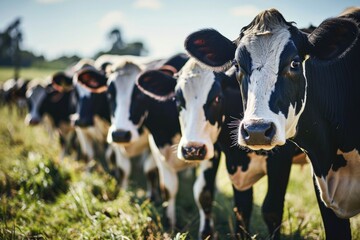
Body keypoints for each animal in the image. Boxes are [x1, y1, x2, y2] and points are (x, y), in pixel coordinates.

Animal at [138, 58, 306, 240]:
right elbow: (241, 208)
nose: (192, 150)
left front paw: (206, 233)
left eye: (217, 98)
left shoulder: (280, 161)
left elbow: (271, 210)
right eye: (177, 100)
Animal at [184, 7, 360, 240]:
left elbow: (271, 209)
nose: (256, 131)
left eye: (295, 63)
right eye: (237, 65)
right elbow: (241, 207)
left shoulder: (281, 157)